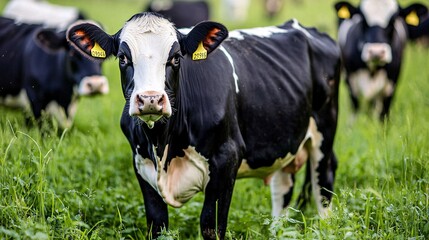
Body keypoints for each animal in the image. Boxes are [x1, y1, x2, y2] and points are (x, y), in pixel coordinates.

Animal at [67, 13, 342, 240]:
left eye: (175, 58)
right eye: (123, 58)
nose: (150, 99)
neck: (163, 145)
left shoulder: (226, 160)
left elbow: (211, 227)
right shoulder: (141, 164)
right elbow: (157, 226)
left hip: (325, 130)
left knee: (323, 182)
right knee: (282, 187)